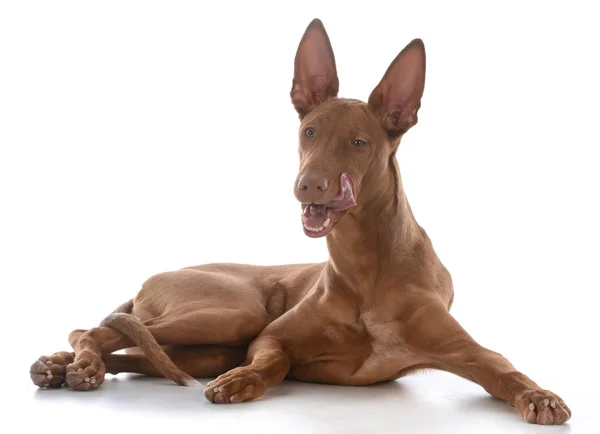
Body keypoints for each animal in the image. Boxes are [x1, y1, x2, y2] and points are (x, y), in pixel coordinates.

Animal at [29, 19, 572, 424]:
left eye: (358, 142)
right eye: (309, 131)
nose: (308, 185)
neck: (366, 266)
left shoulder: (471, 352)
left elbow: (508, 370)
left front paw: (540, 395)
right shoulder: (270, 336)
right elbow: (275, 360)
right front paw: (244, 381)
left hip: (210, 344)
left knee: (127, 351)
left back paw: (60, 368)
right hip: (232, 314)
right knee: (94, 330)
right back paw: (76, 366)